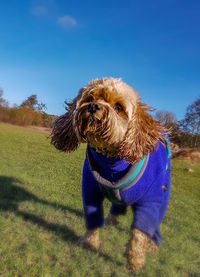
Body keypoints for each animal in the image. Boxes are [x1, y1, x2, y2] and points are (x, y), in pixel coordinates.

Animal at [50, 76, 171, 270]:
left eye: (119, 107)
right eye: (90, 98)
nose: (93, 107)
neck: (113, 164)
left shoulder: (150, 202)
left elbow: (139, 234)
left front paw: (135, 261)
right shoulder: (90, 191)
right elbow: (93, 219)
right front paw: (90, 243)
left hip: (163, 194)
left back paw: (153, 244)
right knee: (117, 206)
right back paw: (112, 220)